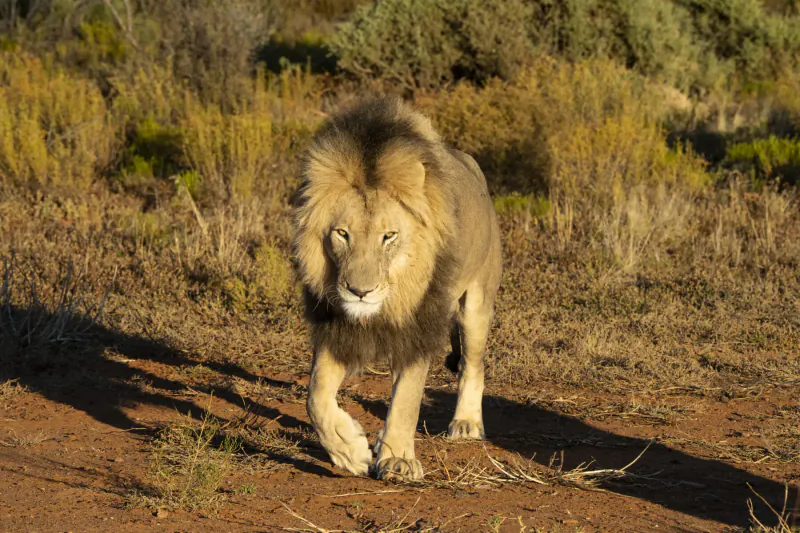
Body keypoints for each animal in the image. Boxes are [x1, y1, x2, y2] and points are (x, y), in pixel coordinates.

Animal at [292, 97, 502, 482]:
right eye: (342, 234)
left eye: (388, 236)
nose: (359, 292)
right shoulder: (334, 324)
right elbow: (315, 396)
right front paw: (350, 450)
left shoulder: (418, 325)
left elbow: (407, 398)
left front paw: (397, 460)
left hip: (477, 302)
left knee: (472, 364)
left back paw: (466, 423)